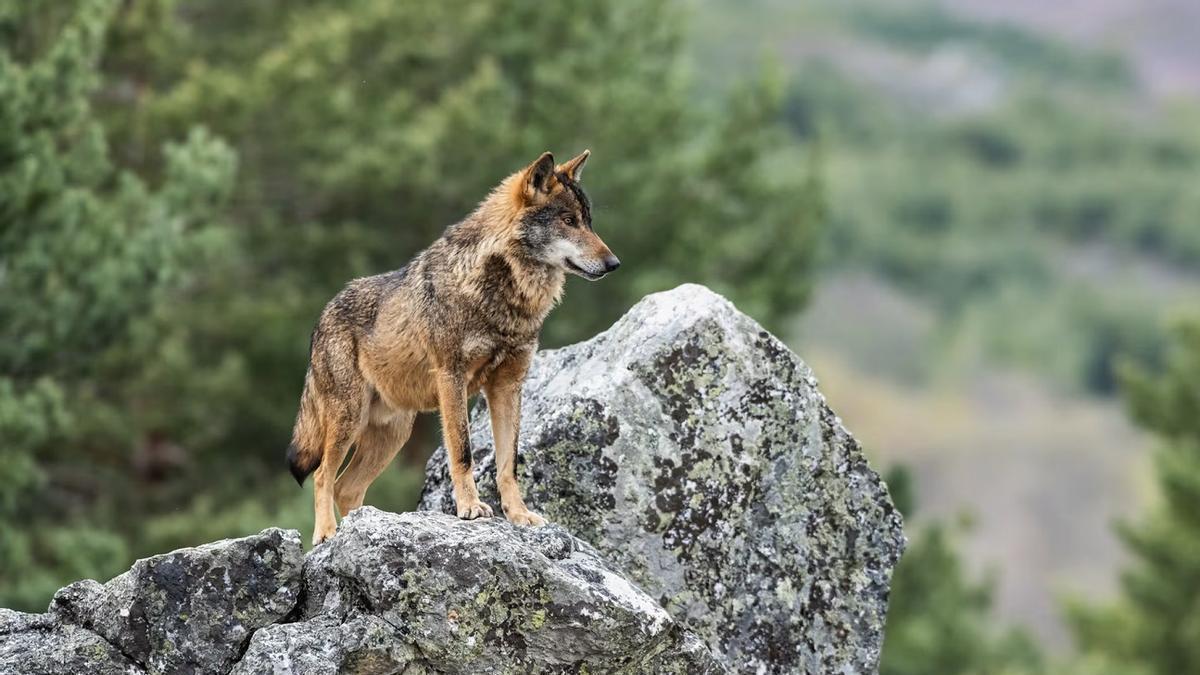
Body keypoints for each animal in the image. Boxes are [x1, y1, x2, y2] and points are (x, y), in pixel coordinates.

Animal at [286, 150, 619, 544]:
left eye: (589, 222)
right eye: (569, 221)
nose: (614, 263)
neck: (503, 295)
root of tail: (322, 315)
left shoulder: (508, 387)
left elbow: (509, 463)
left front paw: (519, 515)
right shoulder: (452, 378)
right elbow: (463, 452)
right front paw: (470, 508)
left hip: (393, 435)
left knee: (346, 487)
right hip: (349, 420)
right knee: (324, 475)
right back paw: (327, 534)